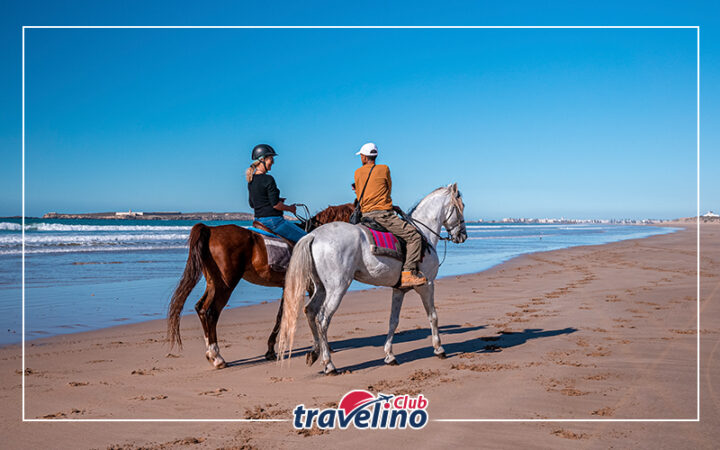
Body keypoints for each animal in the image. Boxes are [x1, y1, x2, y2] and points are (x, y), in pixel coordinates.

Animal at [166, 203, 354, 368]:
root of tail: (210, 229)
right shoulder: (310, 287)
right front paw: (325, 347)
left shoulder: (288, 286)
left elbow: (280, 316)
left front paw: (271, 350)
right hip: (225, 284)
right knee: (210, 311)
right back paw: (217, 357)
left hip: (213, 283)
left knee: (200, 308)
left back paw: (210, 354)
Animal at [277, 184, 468, 375]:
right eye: (462, 207)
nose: (463, 235)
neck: (424, 233)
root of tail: (314, 236)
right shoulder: (427, 285)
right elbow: (433, 316)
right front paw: (439, 348)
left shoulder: (399, 290)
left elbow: (393, 321)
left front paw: (390, 355)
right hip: (337, 288)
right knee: (322, 319)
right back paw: (329, 364)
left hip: (321, 287)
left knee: (310, 311)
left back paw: (315, 352)